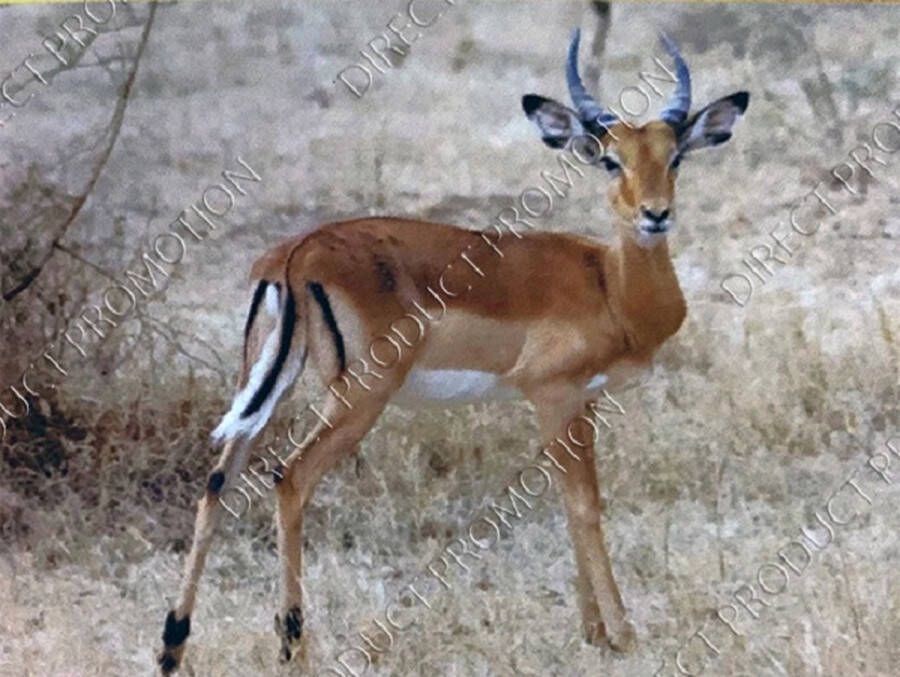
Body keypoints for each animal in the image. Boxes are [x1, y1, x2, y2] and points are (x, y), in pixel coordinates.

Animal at [157, 28, 749, 673]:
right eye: (609, 159)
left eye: (675, 156)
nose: (655, 216)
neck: (609, 283)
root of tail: (294, 254)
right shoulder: (555, 395)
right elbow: (586, 507)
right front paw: (622, 634)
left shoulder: (581, 402)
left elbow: (568, 505)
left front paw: (593, 631)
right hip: (360, 397)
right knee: (289, 479)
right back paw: (293, 645)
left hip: (267, 385)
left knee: (219, 480)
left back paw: (173, 644)